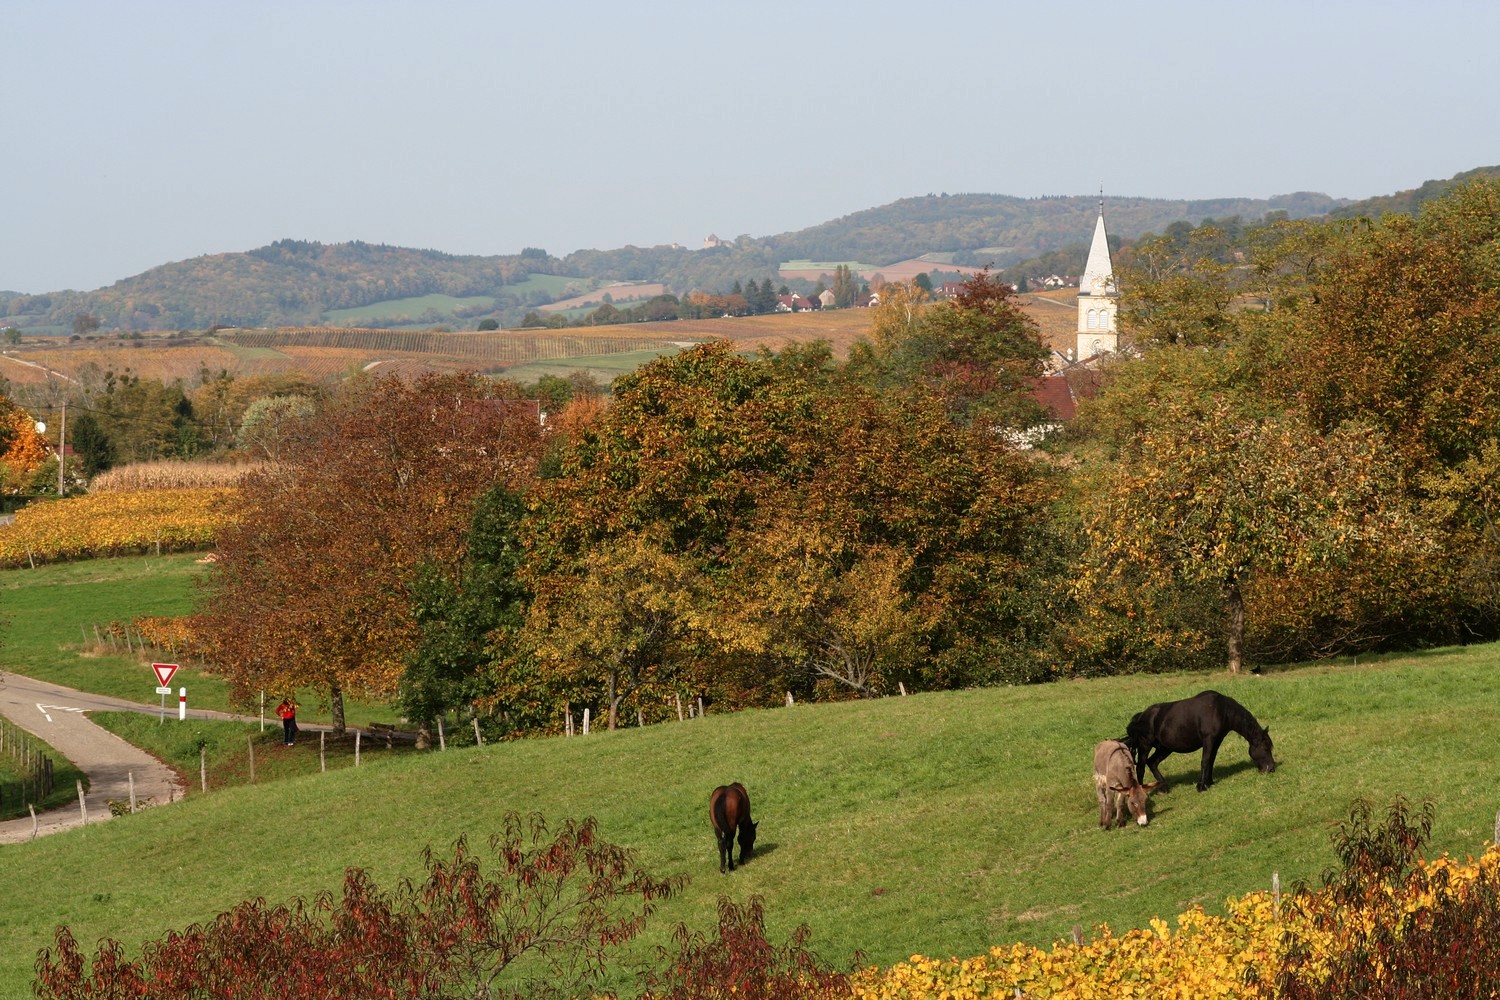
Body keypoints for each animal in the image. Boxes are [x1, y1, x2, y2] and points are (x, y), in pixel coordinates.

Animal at [1128, 692, 1278, 791]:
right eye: (1265, 748)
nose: (1271, 768)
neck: (1221, 710)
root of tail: (1141, 716)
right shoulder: (1208, 739)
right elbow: (1205, 761)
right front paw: (1201, 786)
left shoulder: (1217, 741)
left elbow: (1211, 759)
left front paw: (1209, 781)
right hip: (1145, 746)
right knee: (1141, 767)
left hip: (1165, 748)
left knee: (1152, 763)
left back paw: (1164, 787)